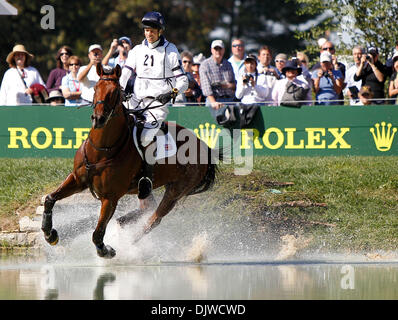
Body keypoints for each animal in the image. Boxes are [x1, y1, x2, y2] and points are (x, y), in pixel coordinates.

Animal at [41, 63, 218, 258]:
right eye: (95, 89)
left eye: (114, 92)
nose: (98, 119)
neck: (102, 150)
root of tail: (203, 146)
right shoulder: (77, 180)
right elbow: (50, 199)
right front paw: (50, 234)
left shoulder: (110, 198)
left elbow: (98, 233)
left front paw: (106, 250)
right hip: (149, 189)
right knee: (146, 209)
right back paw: (120, 223)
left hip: (175, 191)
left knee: (154, 219)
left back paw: (130, 244)